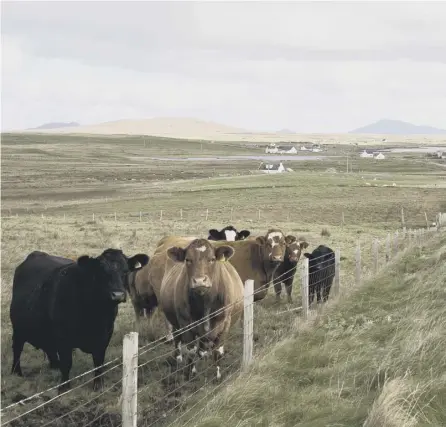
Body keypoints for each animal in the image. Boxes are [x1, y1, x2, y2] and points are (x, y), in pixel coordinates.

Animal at [9, 249, 149, 392]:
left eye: (125, 271)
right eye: (101, 272)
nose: (118, 295)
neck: (95, 316)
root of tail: (37, 253)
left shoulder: (105, 334)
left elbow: (99, 362)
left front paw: (98, 385)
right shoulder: (63, 337)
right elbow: (67, 363)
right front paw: (64, 387)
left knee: (48, 347)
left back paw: (54, 365)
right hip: (18, 328)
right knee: (17, 348)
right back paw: (16, 372)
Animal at [158, 237, 242, 382]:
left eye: (212, 259)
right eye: (188, 259)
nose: (199, 281)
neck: (205, 302)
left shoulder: (225, 323)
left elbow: (218, 351)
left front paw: (218, 375)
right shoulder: (185, 323)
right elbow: (191, 351)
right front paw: (190, 373)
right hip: (175, 321)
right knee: (177, 338)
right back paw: (179, 358)